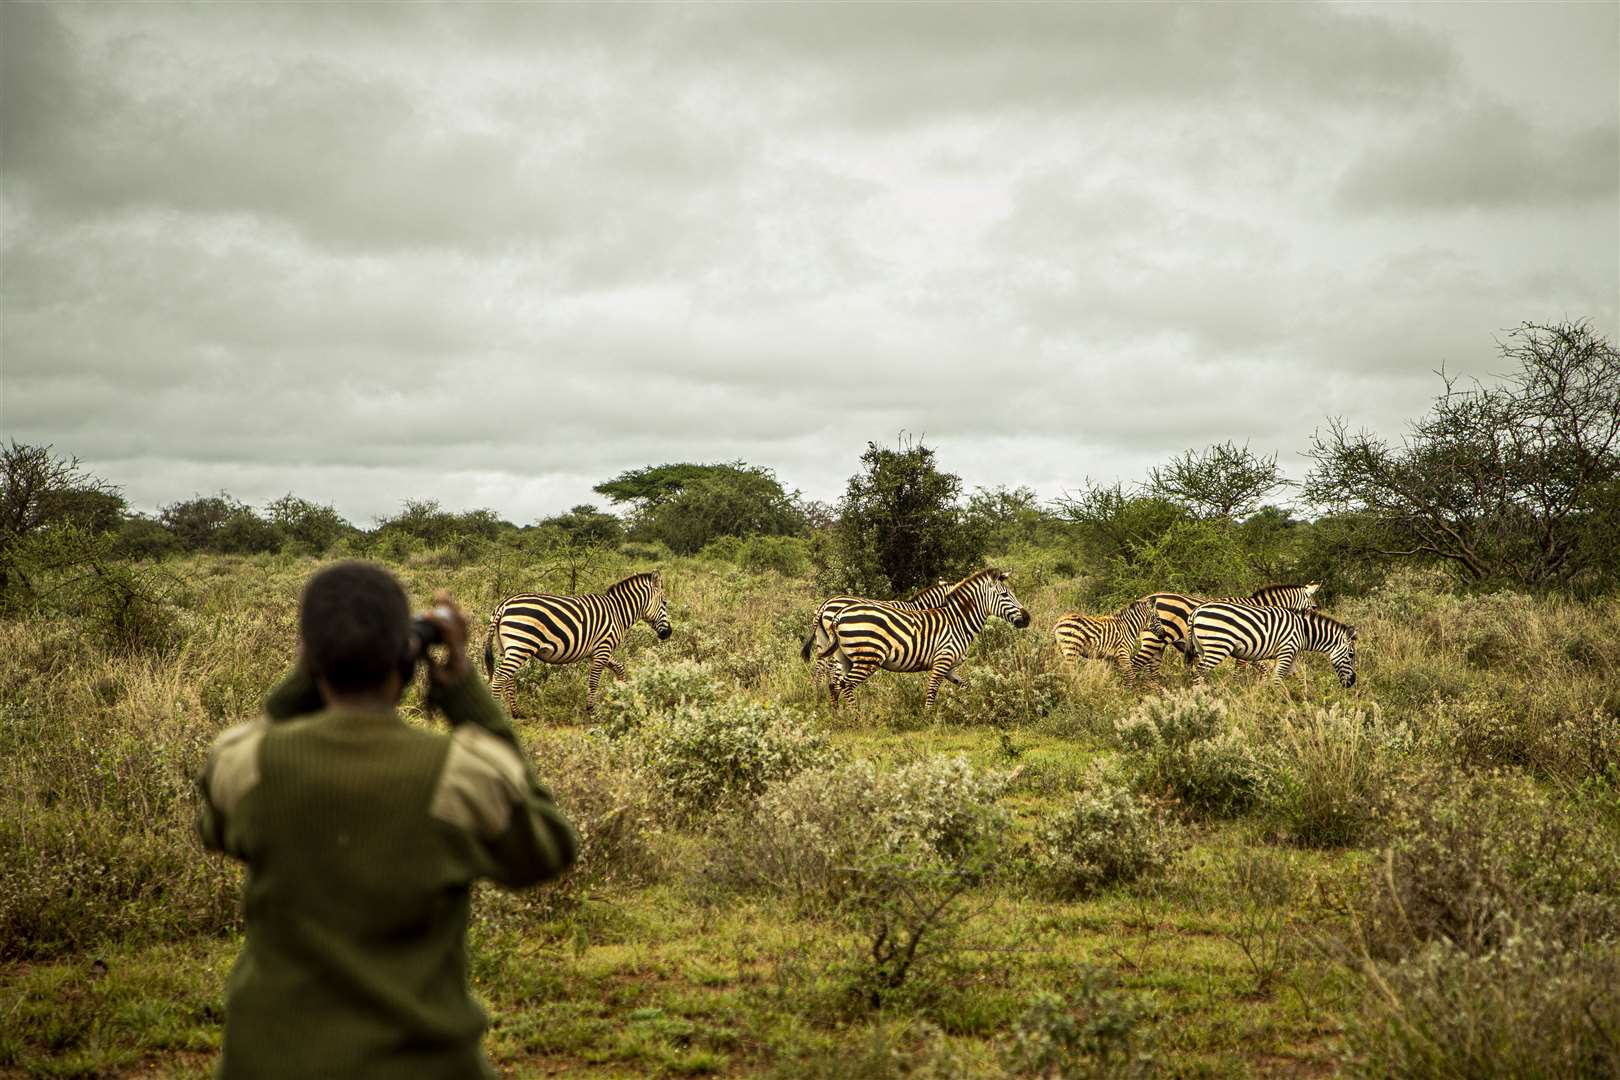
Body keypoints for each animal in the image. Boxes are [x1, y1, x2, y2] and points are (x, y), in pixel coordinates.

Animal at [479, 573, 670, 718]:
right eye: (665, 603)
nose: (668, 633)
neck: (618, 612)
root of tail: (503, 605)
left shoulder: (599, 651)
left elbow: (620, 668)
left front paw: (623, 695)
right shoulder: (603, 648)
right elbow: (594, 681)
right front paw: (592, 710)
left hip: (507, 648)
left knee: (508, 678)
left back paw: (516, 713)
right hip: (521, 644)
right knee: (500, 676)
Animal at [816, 566, 1030, 709]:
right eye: (1005, 595)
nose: (1027, 618)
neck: (958, 621)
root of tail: (835, 613)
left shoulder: (950, 667)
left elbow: (967, 686)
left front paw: (977, 706)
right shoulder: (942, 659)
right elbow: (932, 689)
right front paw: (929, 718)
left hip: (844, 657)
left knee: (835, 683)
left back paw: (838, 714)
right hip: (866, 657)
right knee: (845, 683)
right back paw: (855, 717)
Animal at [1134, 582, 1321, 683]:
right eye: (1313, 607)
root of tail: (1146, 598)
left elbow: (1260, 667)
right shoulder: (1249, 641)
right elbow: (1242, 669)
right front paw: (1238, 686)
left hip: (1159, 643)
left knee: (1152, 669)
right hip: (1154, 640)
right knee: (1137, 663)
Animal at [1185, 605, 1360, 689]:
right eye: (1351, 655)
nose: (1352, 683)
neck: (1304, 632)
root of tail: (1196, 611)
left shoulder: (1292, 655)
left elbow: (1297, 677)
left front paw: (1301, 698)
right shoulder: (1286, 652)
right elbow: (1276, 679)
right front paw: (1275, 701)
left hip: (1202, 648)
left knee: (1200, 673)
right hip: (1218, 647)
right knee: (1199, 672)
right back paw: (1198, 698)